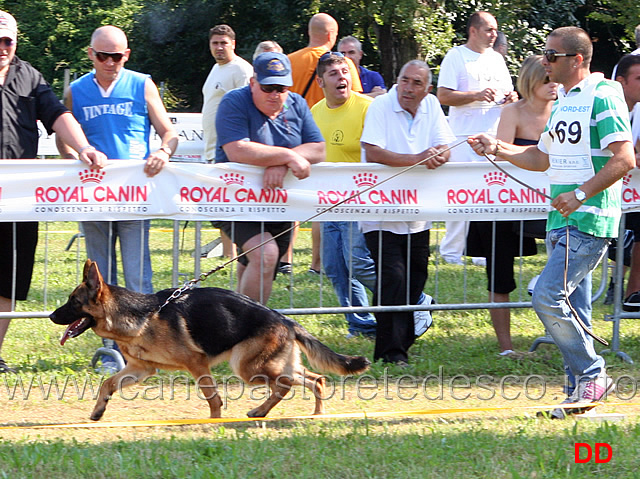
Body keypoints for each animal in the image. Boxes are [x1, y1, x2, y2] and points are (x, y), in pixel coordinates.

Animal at [50, 260, 370, 422]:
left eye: (73, 302)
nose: (51, 316)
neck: (143, 315)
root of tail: (286, 320)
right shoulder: (142, 369)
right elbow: (107, 384)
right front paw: (98, 411)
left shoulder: (197, 363)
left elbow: (212, 397)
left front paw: (214, 421)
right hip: (272, 363)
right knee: (315, 379)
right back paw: (316, 414)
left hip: (248, 367)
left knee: (285, 384)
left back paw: (261, 411)